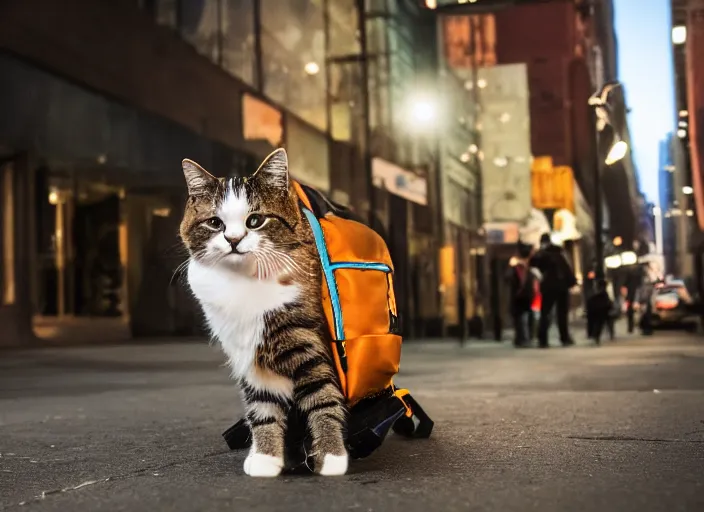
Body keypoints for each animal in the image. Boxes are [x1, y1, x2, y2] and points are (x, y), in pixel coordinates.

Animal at [180, 148, 348, 476]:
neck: (243, 279)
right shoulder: (246, 351)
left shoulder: (306, 340)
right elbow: (262, 405)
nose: (233, 240)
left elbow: (322, 395)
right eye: (215, 223)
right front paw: (266, 457)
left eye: (255, 220)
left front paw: (332, 455)